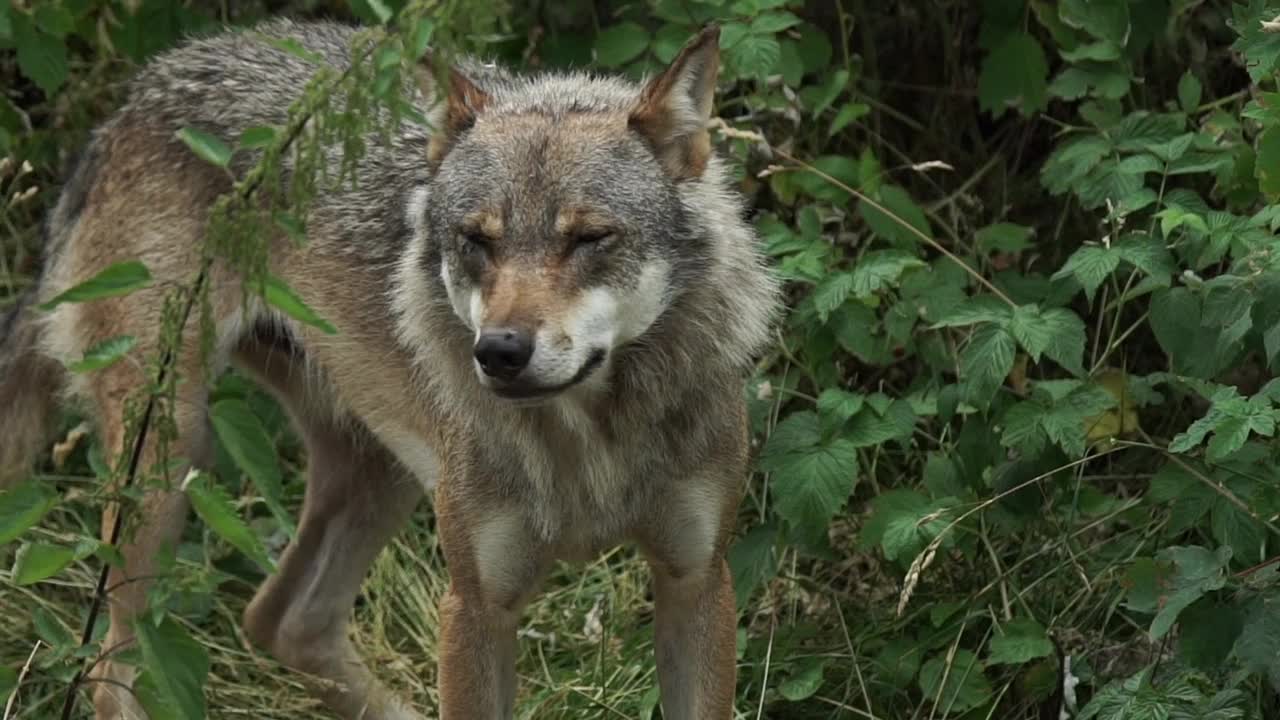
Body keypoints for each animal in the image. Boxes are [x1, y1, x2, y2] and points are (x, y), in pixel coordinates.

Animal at [0, 15, 778, 717]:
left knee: (279, 620)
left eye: (590, 239)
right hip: (169, 464)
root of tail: (135, 96)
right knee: (113, 668)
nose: (498, 351)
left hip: (379, 474)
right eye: (475, 241)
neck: (589, 447)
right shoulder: (475, 606)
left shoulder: (698, 582)